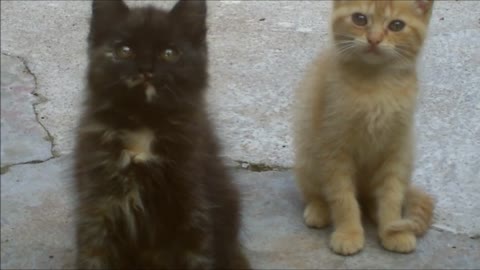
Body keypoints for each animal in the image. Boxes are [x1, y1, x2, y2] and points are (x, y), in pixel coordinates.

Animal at [74, 0, 251, 268]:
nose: (146, 69)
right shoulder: (98, 204)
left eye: (169, 53)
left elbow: (198, 255)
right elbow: (94, 255)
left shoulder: (192, 201)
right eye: (125, 50)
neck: (144, 124)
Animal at [292, 0, 436, 254]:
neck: (377, 86)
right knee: (315, 193)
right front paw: (348, 233)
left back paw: (378, 213)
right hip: (307, 155)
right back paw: (319, 210)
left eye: (396, 25)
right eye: (360, 19)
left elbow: (392, 193)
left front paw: (393, 230)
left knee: (374, 196)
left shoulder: (397, 147)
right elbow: (342, 197)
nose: (374, 39)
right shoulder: (333, 146)